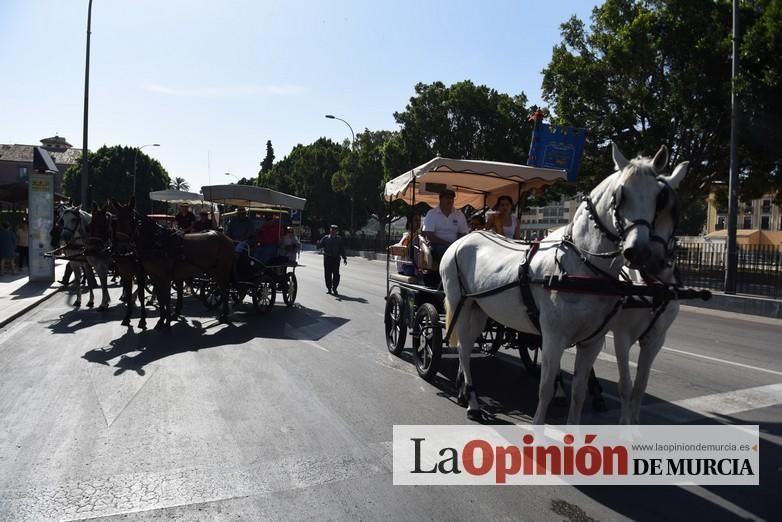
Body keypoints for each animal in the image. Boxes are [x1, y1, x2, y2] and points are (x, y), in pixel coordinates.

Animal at [114, 197, 233, 328]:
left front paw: (164, 322)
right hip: (213, 270)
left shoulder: (162, 276)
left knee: (225, 289)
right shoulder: (153, 276)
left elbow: (165, 298)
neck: (158, 243)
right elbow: (160, 297)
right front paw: (162, 319)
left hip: (222, 270)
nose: (123, 249)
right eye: (116, 221)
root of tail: (225, 237)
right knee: (221, 289)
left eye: (132, 221)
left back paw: (224, 314)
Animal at [444, 141, 688, 422]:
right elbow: (546, 388)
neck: (583, 268)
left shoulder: (594, 341)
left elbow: (580, 391)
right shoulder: (555, 337)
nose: (640, 252)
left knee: (467, 344)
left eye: (659, 199)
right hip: (460, 305)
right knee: (463, 349)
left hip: (480, 309)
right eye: (620, 194)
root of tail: (465, 238)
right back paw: (472, 402)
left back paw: (465, 391)